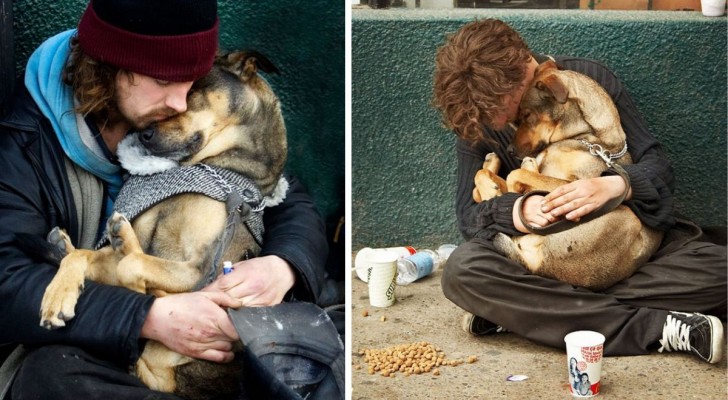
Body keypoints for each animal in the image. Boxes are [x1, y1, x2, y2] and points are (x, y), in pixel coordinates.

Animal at [38, 51, 286, 398]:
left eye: (191, 92)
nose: (143, 134)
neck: (209, 166)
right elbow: (88, 257)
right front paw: (57, 296)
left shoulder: (200, 267)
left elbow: (131, 267)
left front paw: (132, 273)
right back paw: (66, 245)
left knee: (156, 374)